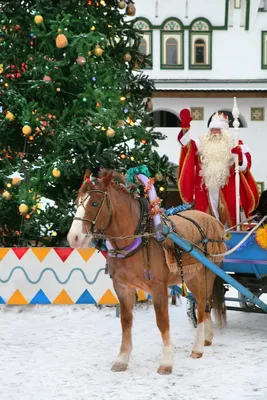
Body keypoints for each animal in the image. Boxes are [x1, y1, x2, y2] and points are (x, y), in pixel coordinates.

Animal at [67, 170, 228, 376]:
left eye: (94, 203)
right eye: (76, 202)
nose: (74, 237)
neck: (139, 236)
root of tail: (212, 220)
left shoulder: (158, 287)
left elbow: (162, 321)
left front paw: (166, 362)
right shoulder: (122, 287)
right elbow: (126, 321)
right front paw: (122, 359)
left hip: (204, 273)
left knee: (201, 306)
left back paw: (197, 347)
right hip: (192, 276)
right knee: (205, 304)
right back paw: (206, 338)